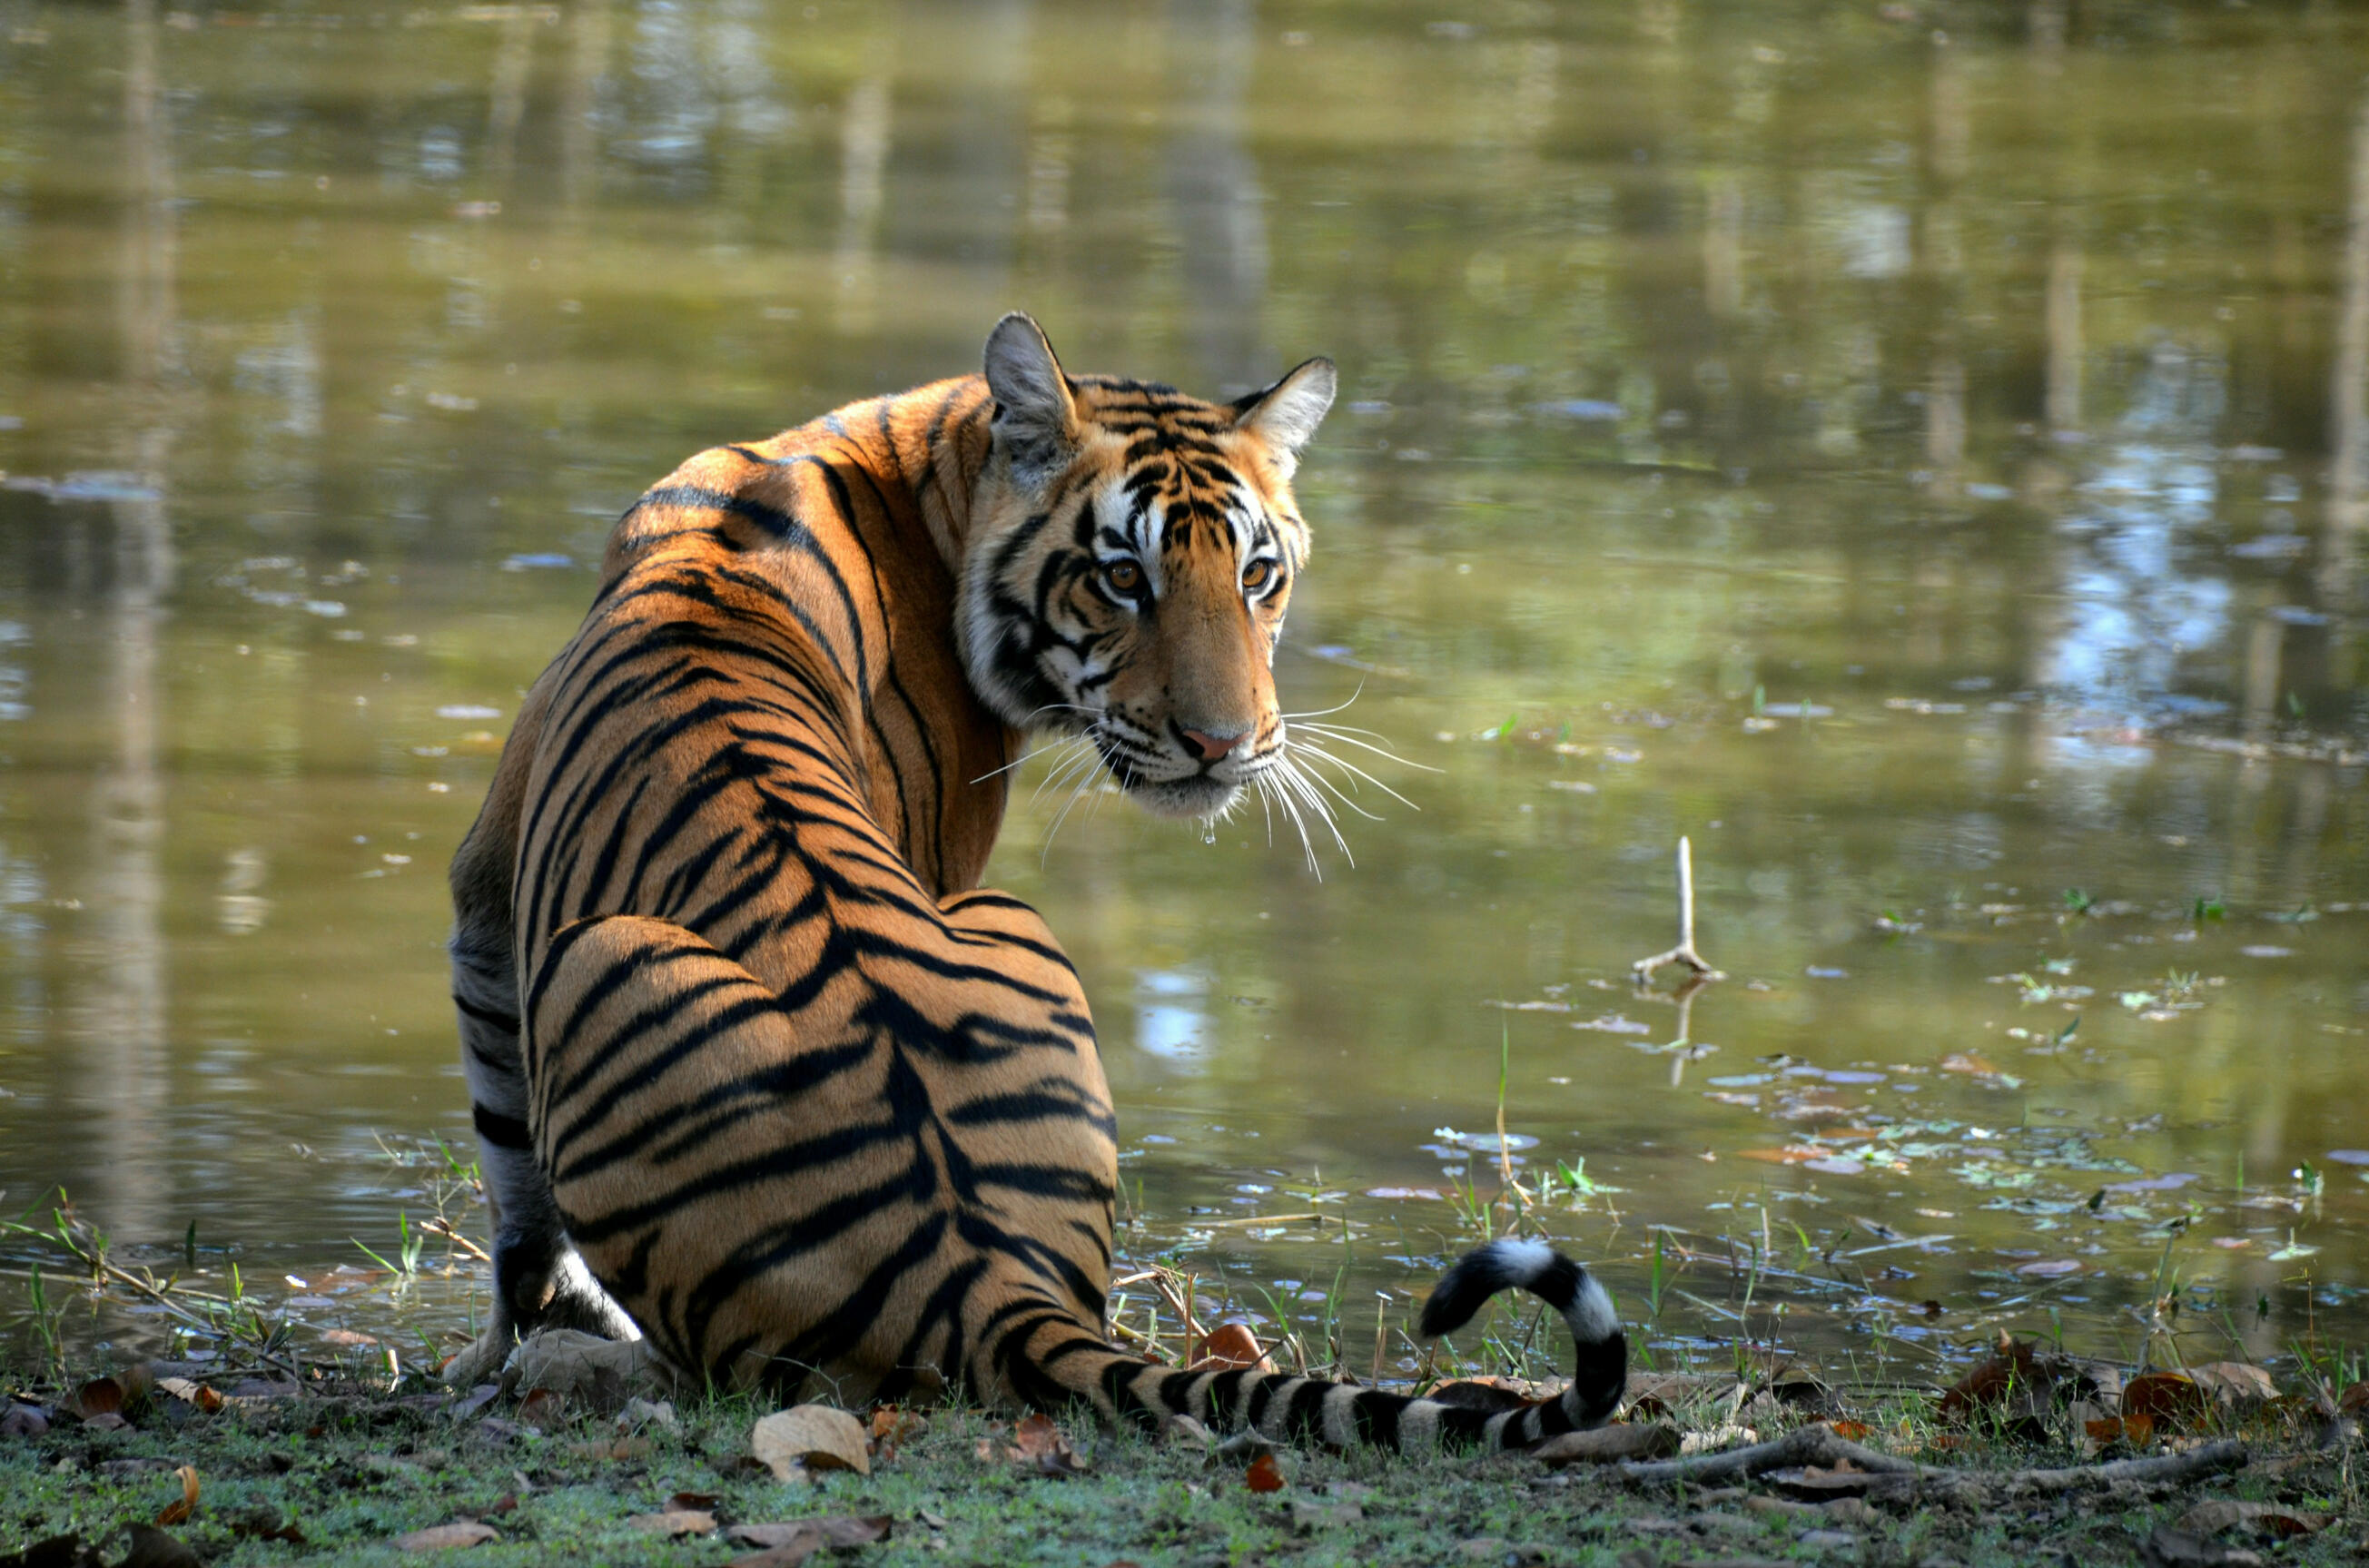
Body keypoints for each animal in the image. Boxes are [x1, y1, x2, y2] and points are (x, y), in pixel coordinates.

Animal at [442, 313, 1628, 1452]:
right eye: (1122, 576)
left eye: (1257, 573)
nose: (1223, 744)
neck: (924, 468)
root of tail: (984, 1287)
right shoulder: (494, 888)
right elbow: (512, 1164)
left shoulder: (493, 883)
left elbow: (511, 1162)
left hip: (641, 950)